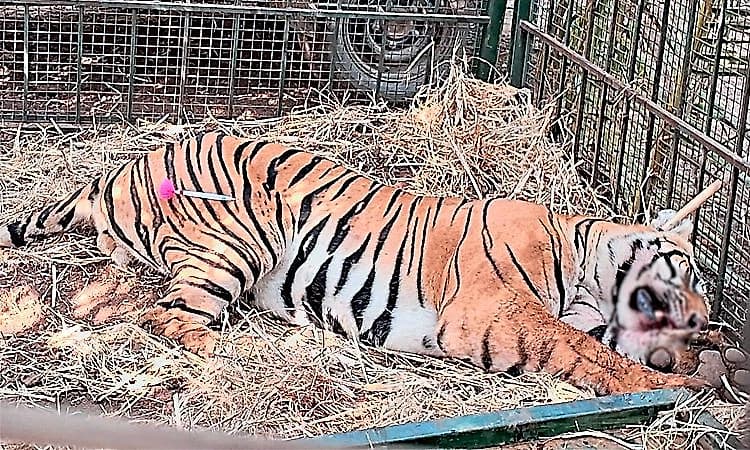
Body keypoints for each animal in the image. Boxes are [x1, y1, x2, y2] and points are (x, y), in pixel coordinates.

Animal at [0, 131, 713, 396]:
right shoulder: (496, 312)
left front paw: (693, 366)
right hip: (238, 239)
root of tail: (118, 168)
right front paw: (672, 388)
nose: (708, 319)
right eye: (685, 269)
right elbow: (581, 348)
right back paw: (250, 357)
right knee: (171, 319)